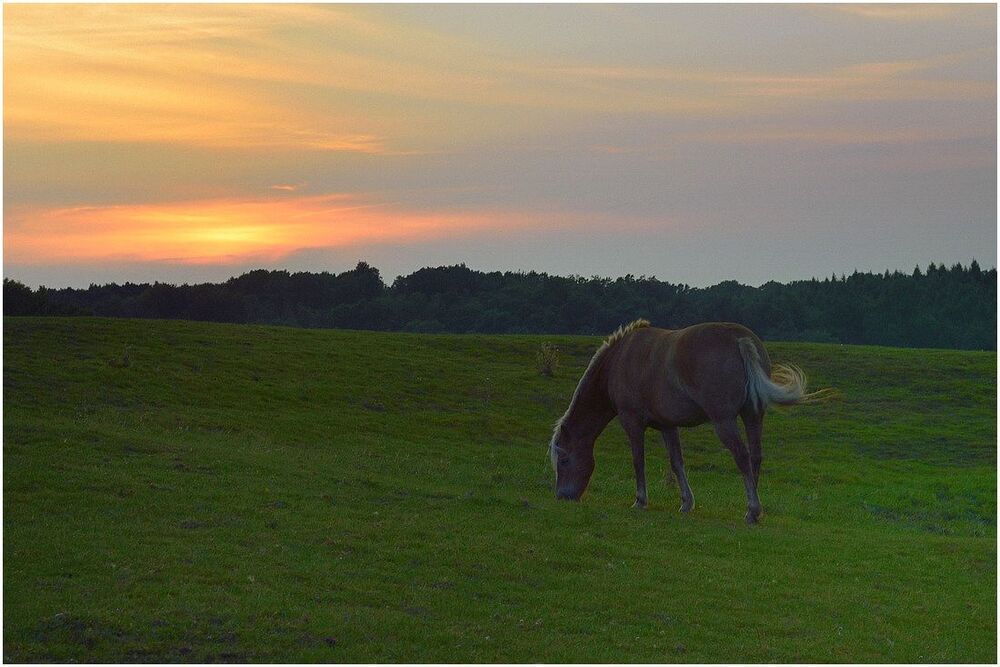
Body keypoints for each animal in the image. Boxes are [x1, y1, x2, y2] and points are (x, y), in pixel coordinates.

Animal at [549, 319, 830, 524]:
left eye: (563, 460)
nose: (562, 496)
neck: (620, 359)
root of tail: (741, 340)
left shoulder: (632, 422)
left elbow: (638, 460)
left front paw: (640, 500)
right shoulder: (667, 426)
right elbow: (677, 462)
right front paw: (686, 503)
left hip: (724, 421)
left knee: (741, 456)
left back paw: (752, 509)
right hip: (753, 416)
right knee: (755, 457)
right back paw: (753, 509)